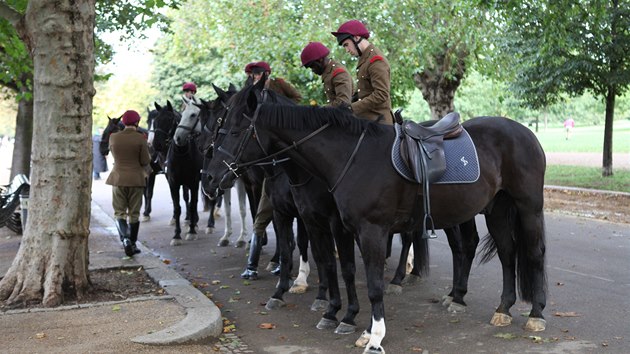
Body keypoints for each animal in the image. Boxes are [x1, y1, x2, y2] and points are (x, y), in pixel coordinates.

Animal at [204, 81, 548, 354]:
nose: (209, 178)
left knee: (532, 253)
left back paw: (536, 315)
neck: (351, 157)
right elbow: (345, 270)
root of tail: (524, 132)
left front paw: (374, 337)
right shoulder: (343, 227)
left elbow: (370, 284)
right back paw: (502, 308)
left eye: (234, 130)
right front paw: (353, 322)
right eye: (219, 124)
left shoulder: (368, 231)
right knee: (506, 253)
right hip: (498, 209)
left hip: (527, 207)